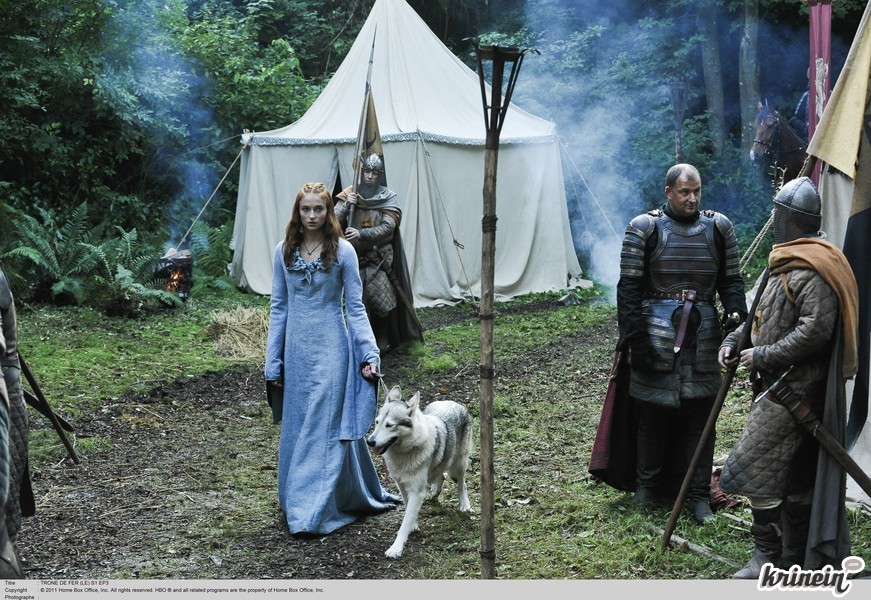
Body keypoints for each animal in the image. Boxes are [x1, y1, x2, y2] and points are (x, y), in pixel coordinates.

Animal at [366, 385, 472, 558]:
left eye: (389, 425)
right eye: (377, 422)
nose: (370, 442)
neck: (404, 453)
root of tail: (452, 402)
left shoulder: (416, 491)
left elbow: (405, 521)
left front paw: (396, 548)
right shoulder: (402, 485)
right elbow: (408, 508)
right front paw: (413, 524)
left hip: (459, 464)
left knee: (462, 484)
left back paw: (464, 505)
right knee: (440, 477)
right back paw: (435, 492)